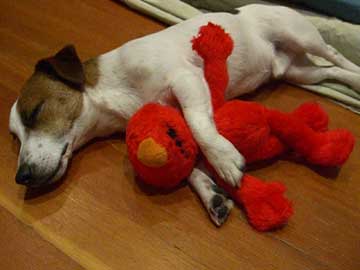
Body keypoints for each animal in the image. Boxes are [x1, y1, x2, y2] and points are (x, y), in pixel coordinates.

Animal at [9, 5, 360, 226]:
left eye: (35, 111)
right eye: (16, 136)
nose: (20, 177)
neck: (114, 90)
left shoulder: (186, 79)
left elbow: (200, 126)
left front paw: (223, 159)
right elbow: (190, 158)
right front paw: (210, 193)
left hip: (301, 36)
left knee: (336, 57)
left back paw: (357, 75)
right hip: (300, 74)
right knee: (330, 73)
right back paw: (352, 81)